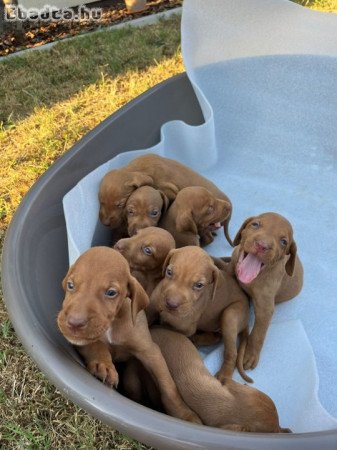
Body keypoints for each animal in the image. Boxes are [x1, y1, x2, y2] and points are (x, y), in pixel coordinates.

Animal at [56, 248, 201, 424]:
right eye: (71, 285)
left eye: (111, 293)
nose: (74, 323)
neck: (113, 323)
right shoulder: (82, 340)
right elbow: (96, 345)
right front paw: (103, 366)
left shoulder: (150, 351)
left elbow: (168, 385)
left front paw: (184, 414)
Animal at [151, 246, 251, 384]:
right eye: (169, 272)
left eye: (199, 285)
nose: (171, 304)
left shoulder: (185, 328)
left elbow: (162, 327)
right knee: (216, 337)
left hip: (230, 315)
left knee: (232, 352)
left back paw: (223, 376)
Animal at [227, 213, 304, 370]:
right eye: (255, 224)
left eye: (283, 241)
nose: (262, 245)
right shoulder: (232, 266)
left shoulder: (265, 308)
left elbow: (258, 332)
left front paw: (250, 354)